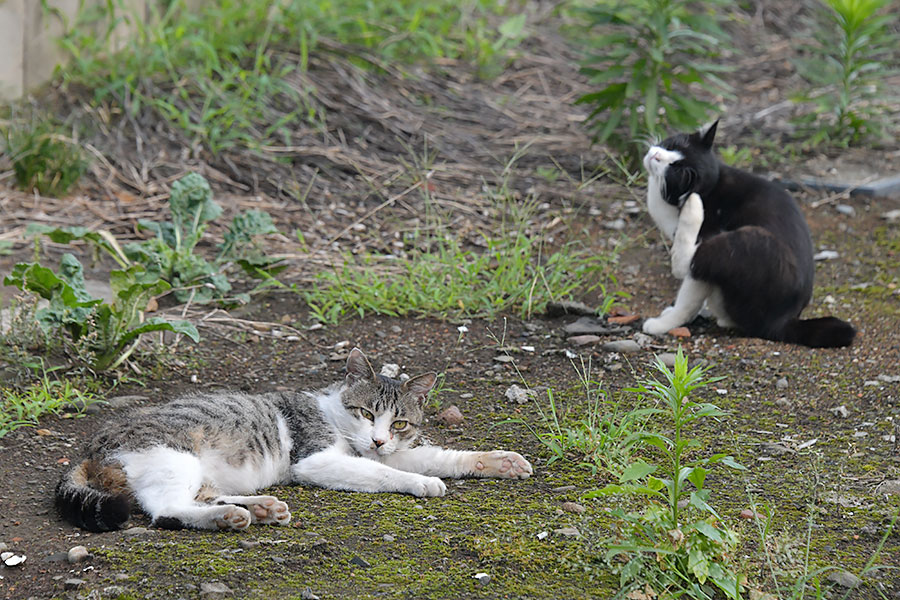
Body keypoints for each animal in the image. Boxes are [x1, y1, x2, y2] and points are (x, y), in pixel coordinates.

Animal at [56, 350, 532, 532]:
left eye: (398, 424)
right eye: (366, 413)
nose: (379, 440)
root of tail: (92, 446)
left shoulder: (395, 452)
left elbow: (436, 456)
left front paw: (498, 461)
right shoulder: (316, 459)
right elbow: (380, 473)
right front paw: (420, 484)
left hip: (196, 472)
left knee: (202, 495)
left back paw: (261, 508)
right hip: (173, 456)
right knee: (167, 509)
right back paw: (229, 518)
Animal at [644, 120, 856, 346]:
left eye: (675, 170)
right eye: (672, 144)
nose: (656, 155)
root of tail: (783, 322)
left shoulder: (708, 240)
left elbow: (689, 298)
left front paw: (664, 324)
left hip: (751, 239)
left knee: (689, 262)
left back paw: (693, 209)